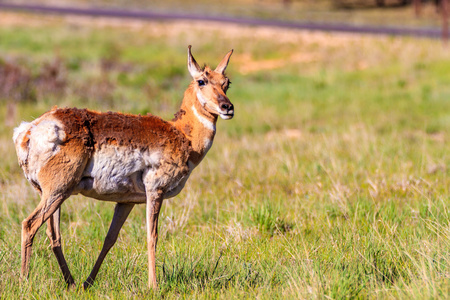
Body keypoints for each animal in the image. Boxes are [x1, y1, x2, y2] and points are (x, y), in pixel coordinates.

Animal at [12, 46, 234, 288]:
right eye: (202, 81)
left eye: (227, 82)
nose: (228, 107)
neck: (182, 134)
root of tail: (30, 129)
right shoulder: (155, 191)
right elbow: (152, 236)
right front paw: (153, 286)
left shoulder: (126, 201)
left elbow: (110, 239)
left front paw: (88, 282)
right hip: (57, 190)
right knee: (29, 224)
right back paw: (24, 281)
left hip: (55, 194)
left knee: (54, 235)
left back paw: (71, 283)